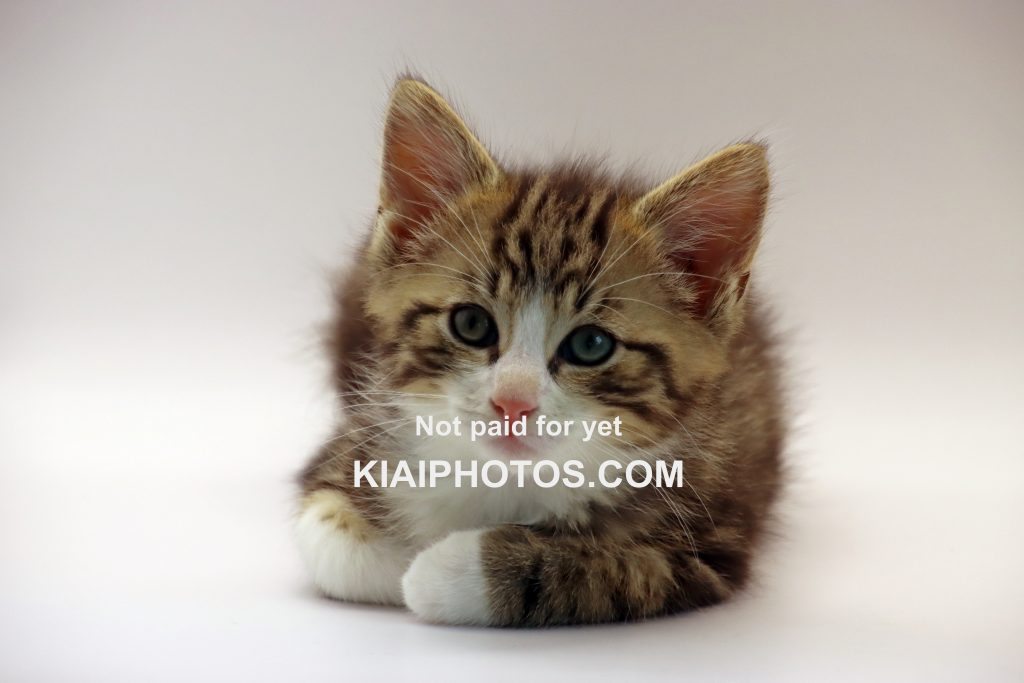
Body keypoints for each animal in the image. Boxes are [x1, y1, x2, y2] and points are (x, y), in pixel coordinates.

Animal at [296, 78, 782, 626]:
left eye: (591, 345)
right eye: (471, 324)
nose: (513, 402)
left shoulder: (707, 545)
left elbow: (594, 570)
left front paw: (438, 569)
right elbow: (327, 534)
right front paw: (395, 553)